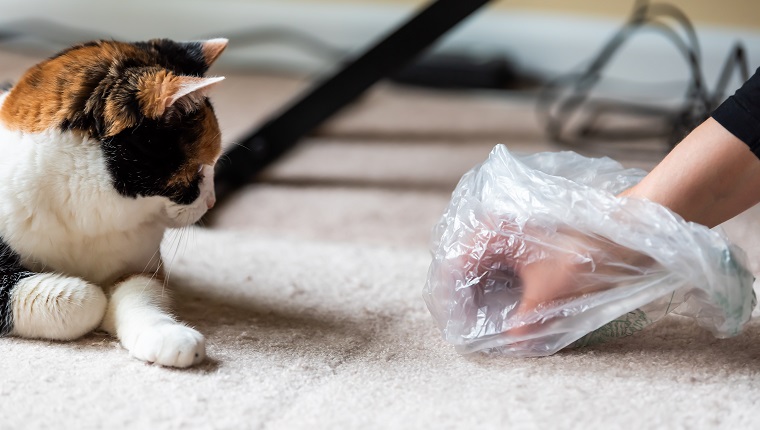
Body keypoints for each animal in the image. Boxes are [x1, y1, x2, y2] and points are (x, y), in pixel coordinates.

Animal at [0, 37, 229, 366]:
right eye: (198, 170)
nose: (211, 201)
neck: (85, 217)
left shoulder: (140, 265)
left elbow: (138, 295)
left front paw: (169, 337)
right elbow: (87, 300)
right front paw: (93, 299)